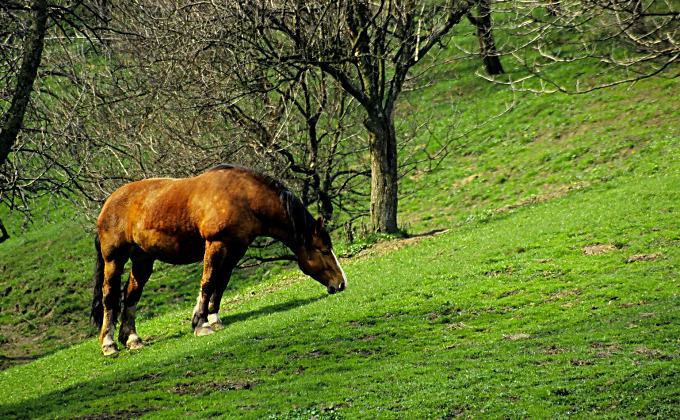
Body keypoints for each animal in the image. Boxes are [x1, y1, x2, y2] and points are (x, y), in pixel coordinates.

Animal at [90, 163, 346, 354]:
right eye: (324, 250)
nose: (341, 283)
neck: (245, 197)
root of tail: (108, 205)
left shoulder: (235, 248)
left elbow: (220, 283)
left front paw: (211, 318)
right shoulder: (216, 244)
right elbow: (208, 282)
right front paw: (201, 324)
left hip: (143, 258)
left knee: (131, 294)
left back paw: (132, 338)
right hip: (114, 259)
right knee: (109, 295)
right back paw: (109, 343)